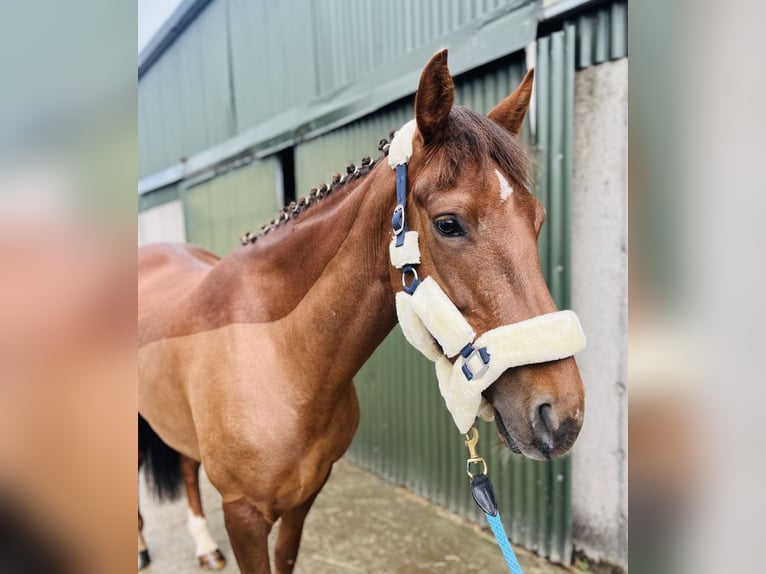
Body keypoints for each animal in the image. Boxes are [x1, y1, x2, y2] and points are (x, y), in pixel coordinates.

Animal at [138, 49, 585, 573]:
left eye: (538, 219)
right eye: (448, 224)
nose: (562, 416)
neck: (282, 355)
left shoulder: (304, 498)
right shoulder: (242, 513)